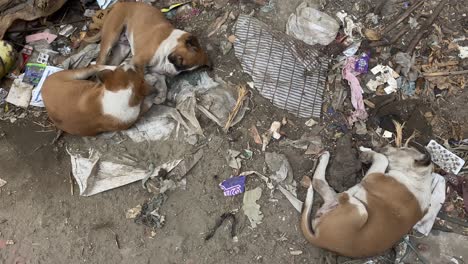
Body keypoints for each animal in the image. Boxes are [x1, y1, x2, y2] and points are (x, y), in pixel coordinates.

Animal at [280, 145, 434, 256]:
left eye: (403, 149)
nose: (384, 146)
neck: (418, 179)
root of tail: (319, 240)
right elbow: (382, 158)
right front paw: (368, 152)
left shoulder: (373, 178)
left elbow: (383, 158)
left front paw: (370, 152)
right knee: (319, 182)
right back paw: (326, 159)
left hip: (360, 211)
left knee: (339, 193)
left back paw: (347, 193)